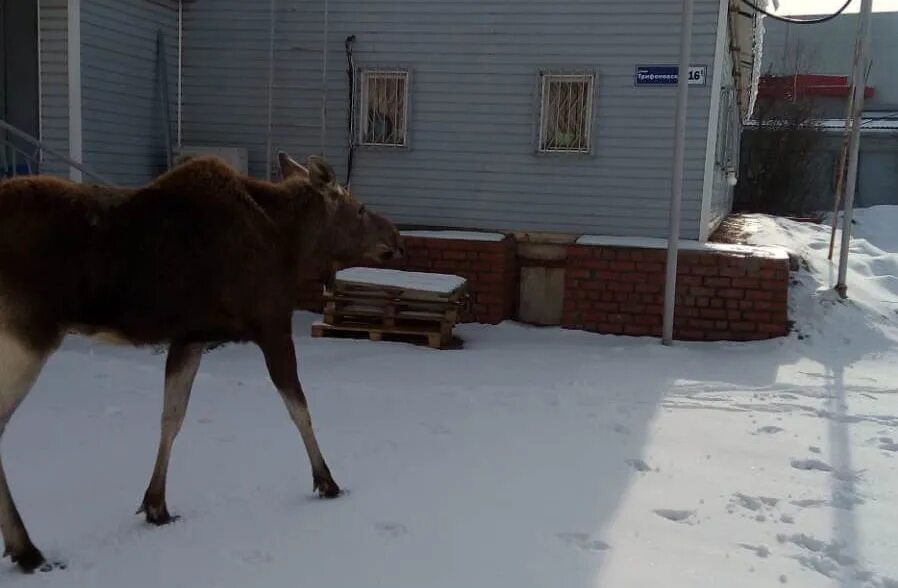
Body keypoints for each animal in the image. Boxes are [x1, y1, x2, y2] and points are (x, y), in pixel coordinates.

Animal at [0, 150, 402, 568]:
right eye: (359, 208)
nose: (396, 236)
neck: (291, 246)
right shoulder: (271, 326)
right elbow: (300, 409)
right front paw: (327, 481)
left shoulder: (191, 337)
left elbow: (172, 417)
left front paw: (156, 505)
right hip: (28, 334)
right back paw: (26, 549)